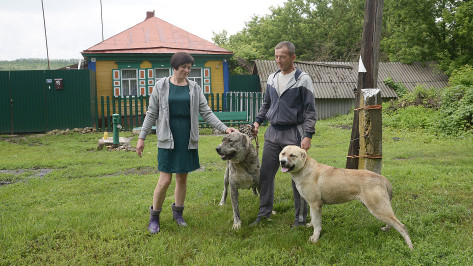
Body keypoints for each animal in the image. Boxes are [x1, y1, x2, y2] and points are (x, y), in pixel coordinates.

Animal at [278, 145, 412, 249]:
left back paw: (410, 247)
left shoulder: (315, 204)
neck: (305, 168)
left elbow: (317, 223)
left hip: (377, 208)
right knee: (392, 221)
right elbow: (313, 218)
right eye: (283, 153)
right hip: (380, 207)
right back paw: (387, 229)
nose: (282, 162)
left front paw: (315, 238)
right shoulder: (312, 205)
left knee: (401, 226)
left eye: (292, 155)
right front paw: (310, 225)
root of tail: (381, 178)